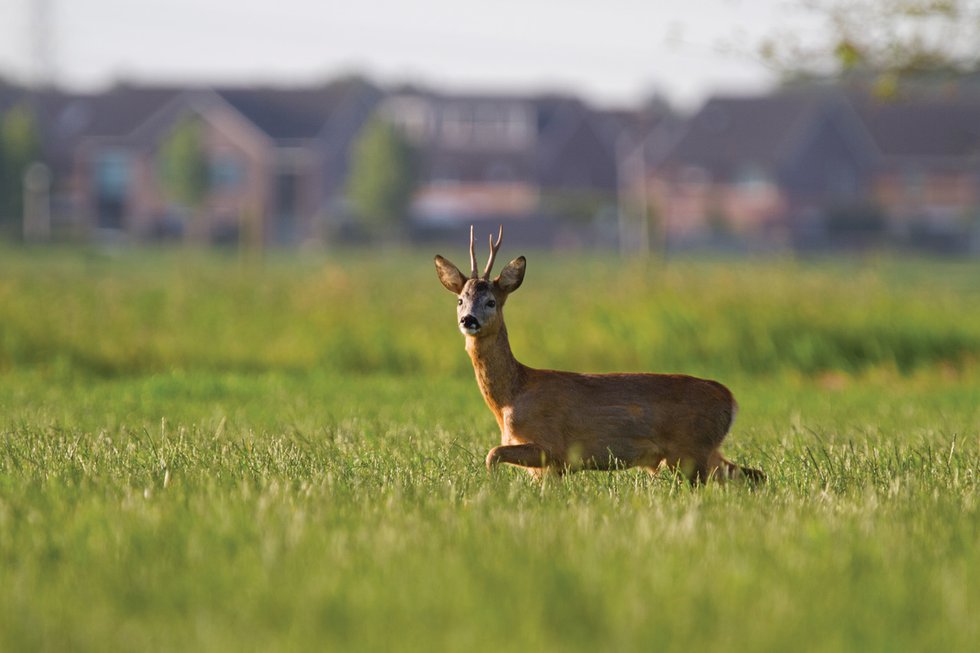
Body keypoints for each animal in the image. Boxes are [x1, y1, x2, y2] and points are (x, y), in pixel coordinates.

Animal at [434, 226, 765, 484]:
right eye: (460, 300)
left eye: (491, 301)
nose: (468, 320)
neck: (511, 397)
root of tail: (729, 399)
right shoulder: (551, 467)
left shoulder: (551, 445)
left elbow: (491, 454)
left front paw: (492, 489)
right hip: (698, 453)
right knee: (753, 475)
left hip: (690, 449)